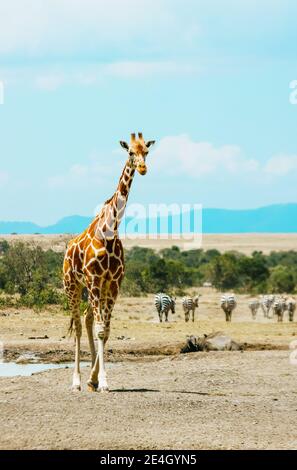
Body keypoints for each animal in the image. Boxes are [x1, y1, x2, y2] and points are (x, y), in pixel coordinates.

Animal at [62, 130, 155, 392]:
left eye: (146, 151)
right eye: (130, 152)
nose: (142, 168)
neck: (110, 229)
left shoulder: (113, 282)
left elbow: (106, 329)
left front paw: (97, 379)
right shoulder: (94, 278)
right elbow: (101, 329)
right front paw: (101, 381)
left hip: (97, 288)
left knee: (88, 319)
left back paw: (88, 380)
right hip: (72, 285)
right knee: (78, 324)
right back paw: (76, 381)